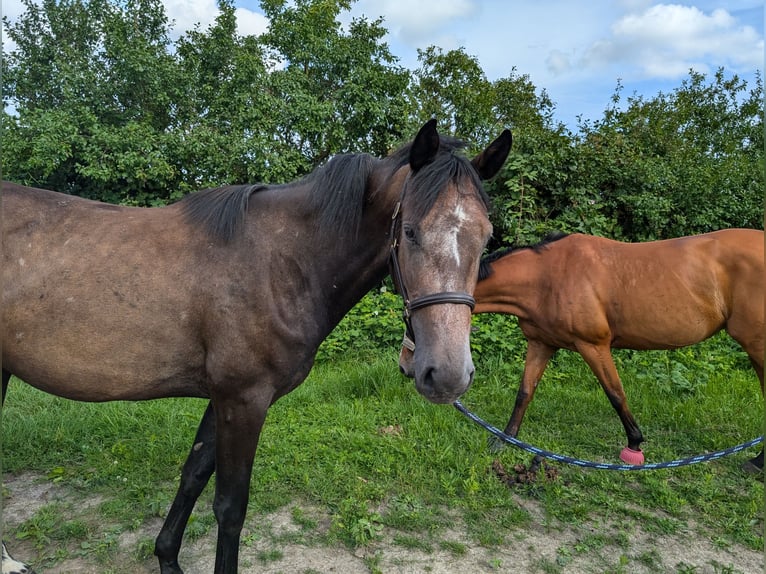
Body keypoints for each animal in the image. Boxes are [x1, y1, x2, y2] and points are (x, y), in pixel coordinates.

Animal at [1, 119, 516, 572]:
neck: (283, 264)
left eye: (486, 236)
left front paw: (167, 557)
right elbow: (230, 507)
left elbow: (193, 474)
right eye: (409, 231)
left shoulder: (222, 397)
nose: (447, 375)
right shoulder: (244, 398)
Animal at [402, 232, 766, 474]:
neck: (548, 276)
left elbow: (616, 393)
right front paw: (503, 440)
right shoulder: (541, 344)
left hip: (757, 345)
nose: (407, 367)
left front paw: (634, 445)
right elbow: (524, 393)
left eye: (411, 318)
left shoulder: (594, 345)